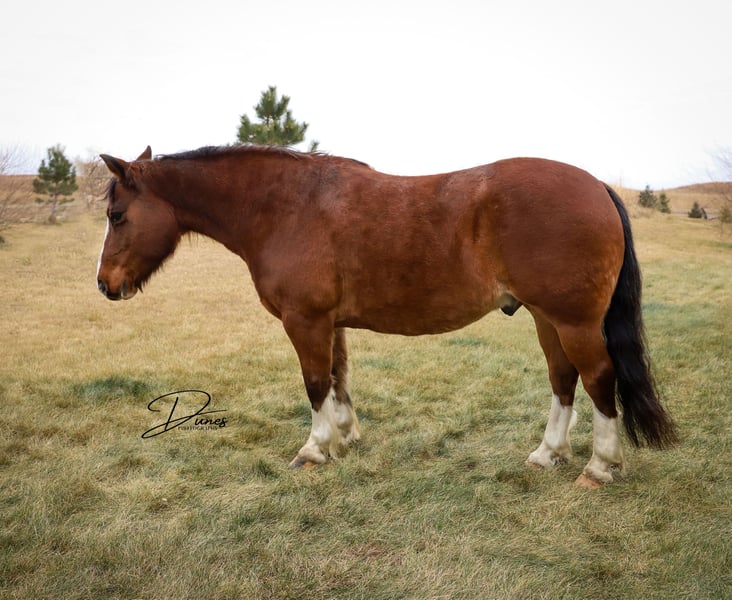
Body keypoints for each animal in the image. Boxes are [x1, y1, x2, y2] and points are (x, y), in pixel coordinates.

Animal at [96, 144, 677, 487]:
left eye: (117, 214)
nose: (105, 285)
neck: (285, 206)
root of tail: (596, 185)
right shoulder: (329, 323)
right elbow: (337, 378)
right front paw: (345, 436)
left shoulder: (305, 321)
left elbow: (314, 382)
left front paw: (315, 449)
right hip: (545, 317)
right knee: (563, 378)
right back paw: (547, 453)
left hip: (573, 321)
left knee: (598, 379)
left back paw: (600, 466)